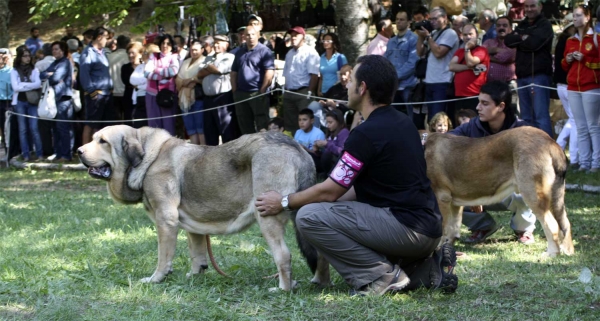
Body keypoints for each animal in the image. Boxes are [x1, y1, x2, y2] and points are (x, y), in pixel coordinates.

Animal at [77, 125, 316, 290]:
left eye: (103, 141)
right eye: (94, 139)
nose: (78, 151)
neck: (149, 158)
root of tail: (296, 147)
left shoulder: (165, 220)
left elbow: (163, 256)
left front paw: (156, 279)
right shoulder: (194, 225)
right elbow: (197, 252)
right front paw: (195, 275)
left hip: (266, 216)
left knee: (283, 255)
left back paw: (283, 288)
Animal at [424, 126, 576, 256]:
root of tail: (550, 141)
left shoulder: (441, 198)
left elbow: (443, 228)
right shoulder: (455, 204)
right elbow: (453, 228)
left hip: (532, 194)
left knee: (552, 225)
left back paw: (551, 254)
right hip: (556, 197)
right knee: (565, 223)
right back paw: (567, 251)